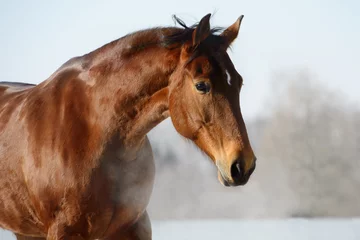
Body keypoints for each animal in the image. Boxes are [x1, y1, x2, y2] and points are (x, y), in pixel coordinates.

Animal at [0, 13, 256, 240]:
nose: (243, 165)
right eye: (202, 85)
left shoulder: (134, 227)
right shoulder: (64, 231)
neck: (93, 129)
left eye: (239, 82)